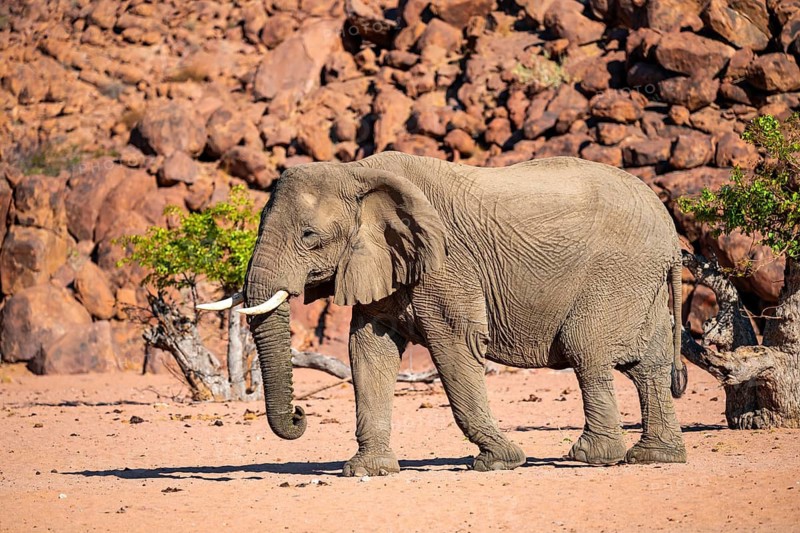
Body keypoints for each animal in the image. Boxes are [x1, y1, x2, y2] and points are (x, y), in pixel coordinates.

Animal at [199, 151, 688, 475]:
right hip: (641, 282)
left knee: (587, 351)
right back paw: (655, 457)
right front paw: (367, 470)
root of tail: (669, 232)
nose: (301, 415)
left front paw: (499, 461)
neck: (358, 171)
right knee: (649, 365)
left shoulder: (447, 266)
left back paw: (590, 457)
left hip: (616, 273)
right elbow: (367, 351)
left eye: (309, 236)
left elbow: (455, 346)